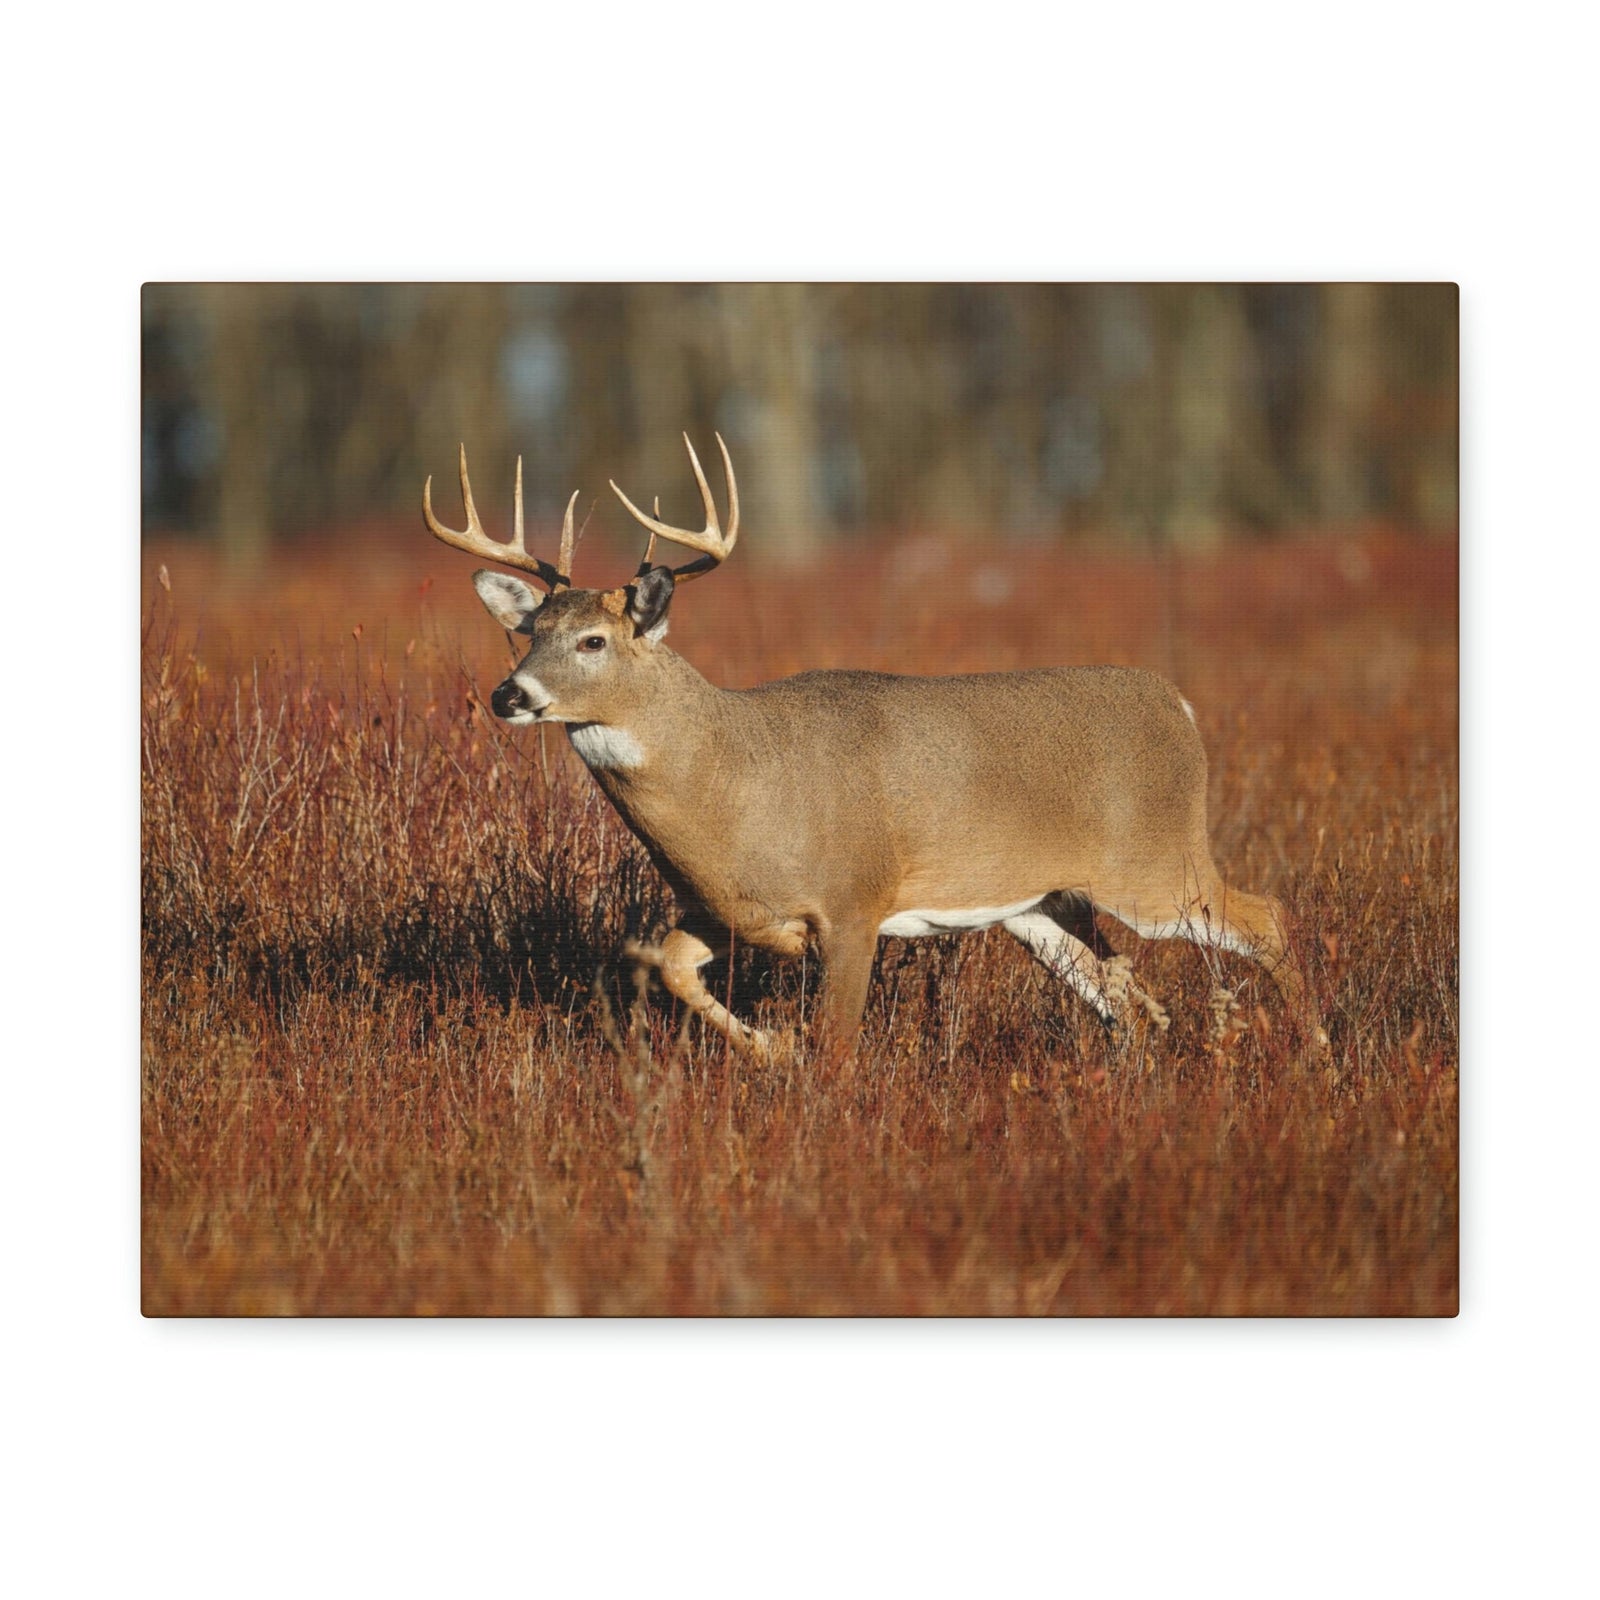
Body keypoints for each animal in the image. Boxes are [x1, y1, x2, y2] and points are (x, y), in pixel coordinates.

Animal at [424, 435, 1323, 1066]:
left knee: (1265, 917)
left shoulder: (854, 900)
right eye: (528, 632)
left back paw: (1315, 1051)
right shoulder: (723, 908)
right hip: (1039, 903)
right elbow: (664, 965)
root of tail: (1178, 703)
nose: (509, 695)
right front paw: (772, 1048)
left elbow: (839, 1049)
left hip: (1156, 865)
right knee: (1119, 986)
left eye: (594, 640)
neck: (734, 781)